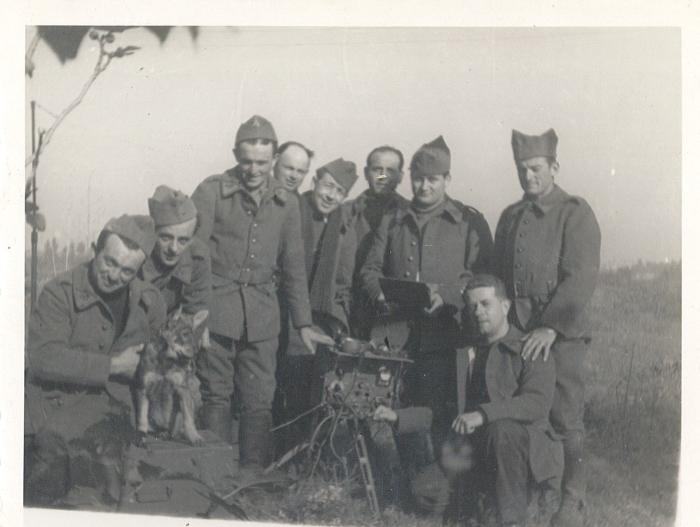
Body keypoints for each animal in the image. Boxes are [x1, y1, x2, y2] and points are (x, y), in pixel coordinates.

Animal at [133, 310, 205, 446]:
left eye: (194, 334)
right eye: (185, 334)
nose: (197, 351)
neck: (165, 360)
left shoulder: (182, 389)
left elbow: (188, 418)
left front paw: (194, 436)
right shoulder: (142, 388)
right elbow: (142, 417)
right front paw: (141, 435)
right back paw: (160, 433)